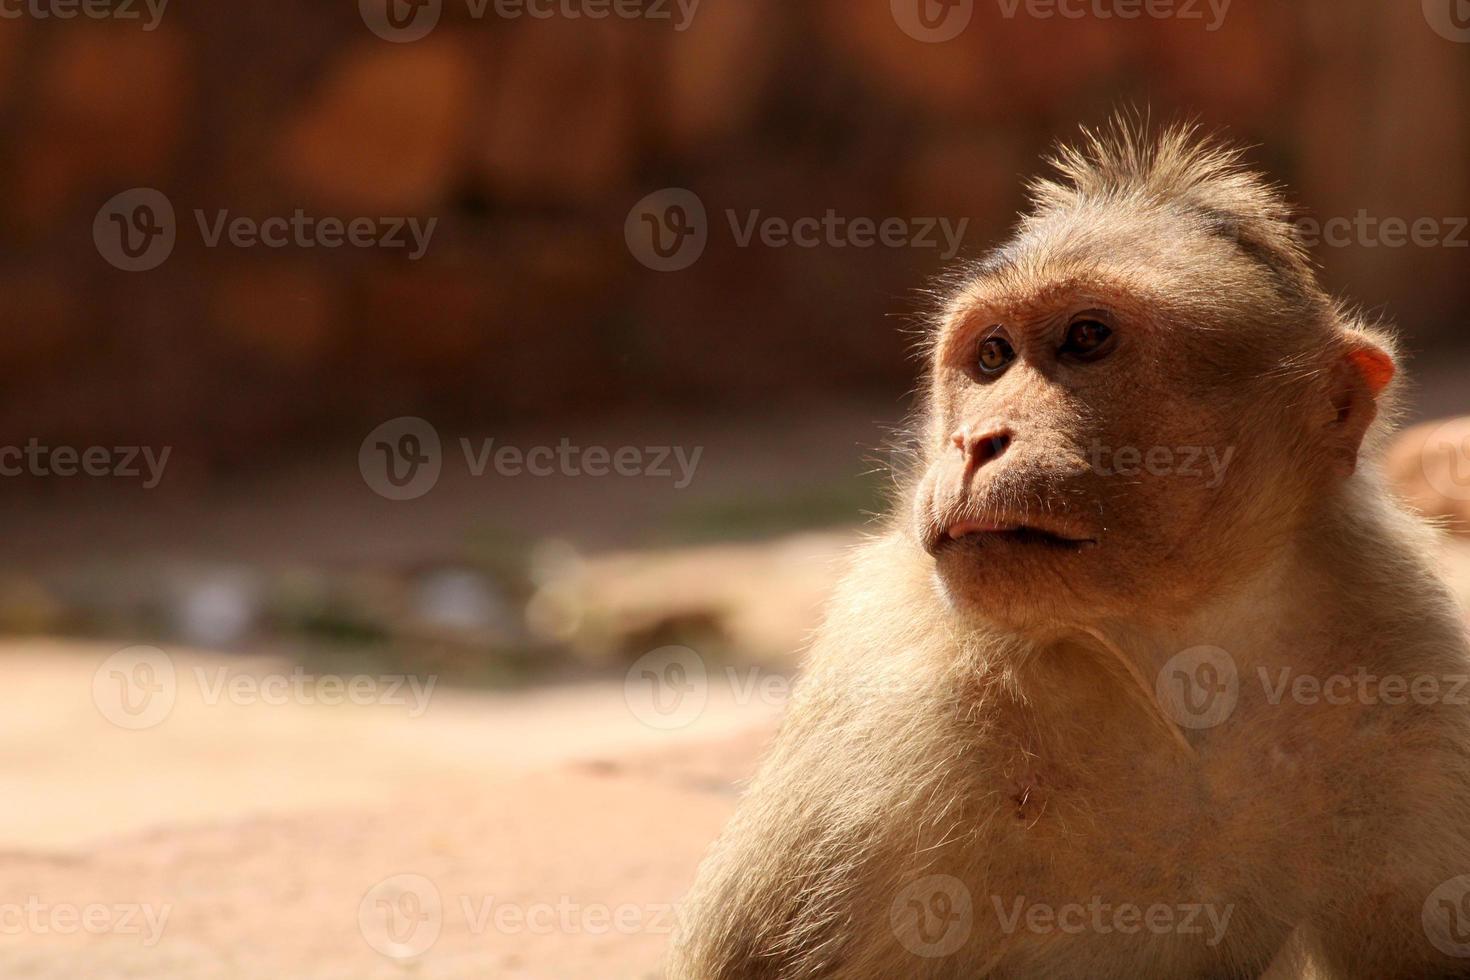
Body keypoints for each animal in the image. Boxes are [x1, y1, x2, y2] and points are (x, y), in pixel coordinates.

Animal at [673, 124, 1470, 980]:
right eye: (992, 356)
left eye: (1087, 338)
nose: (974, 441)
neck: (1177, 651)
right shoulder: (896, 700)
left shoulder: (1408, 668)